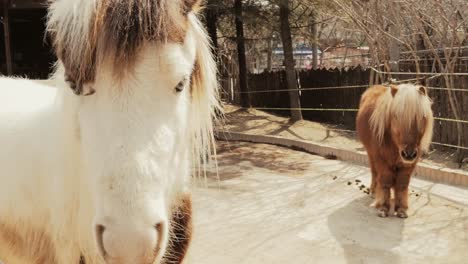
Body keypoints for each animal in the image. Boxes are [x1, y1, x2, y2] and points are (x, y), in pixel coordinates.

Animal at [356, 83, 434, 218]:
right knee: (374, 172)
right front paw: (383, 208)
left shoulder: (408, 165)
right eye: (396, 116)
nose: (409, 154)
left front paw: (401, 209)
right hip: (371, 154)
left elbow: (402, 184)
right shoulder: (382, 160)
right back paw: (373, 191)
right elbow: (385, 181)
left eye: (422, 117)